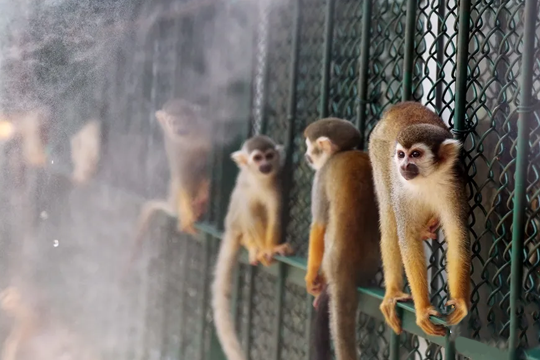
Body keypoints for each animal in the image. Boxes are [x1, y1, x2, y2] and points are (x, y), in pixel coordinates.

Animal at [212, 134, 296, 360]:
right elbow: (250, 213)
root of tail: (229, 228)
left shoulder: (275, 186)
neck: (258, 180)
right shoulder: (245, 186)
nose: (265, 165)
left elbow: (274, 214)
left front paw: (271, 249)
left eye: (269, 156)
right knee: (244, 211)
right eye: (257, 158)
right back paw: (251, 245)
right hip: (234, 221)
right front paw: (261, 249)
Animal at [304, 119, 380, 360]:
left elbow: (318, 226)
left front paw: (311, 278)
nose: (306, 155)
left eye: (309, 146)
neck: (342, 152)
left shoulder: (320, 177)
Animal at [370, 102, 470, 338]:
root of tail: (397, 107)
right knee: (389, 216)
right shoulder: (402, 193)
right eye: (401, 155)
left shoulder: (454, 184)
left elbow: (457, 236)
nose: (404, 166)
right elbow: (408, 240)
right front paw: (423, 309)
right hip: (377, 150)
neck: (428, 179)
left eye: (415, 154)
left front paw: (460, 300)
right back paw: (393, 292)